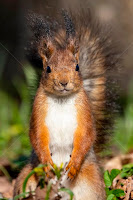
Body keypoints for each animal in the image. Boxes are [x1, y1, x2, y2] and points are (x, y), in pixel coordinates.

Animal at [14, 9, 119, 200]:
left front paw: (74, 165)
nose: (64, 82)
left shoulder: (84, 112)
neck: (61, 99)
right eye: (48, 69)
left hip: (91, 184)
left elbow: (86, 135)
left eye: (77, 67)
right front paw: (47, 164)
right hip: (29, 174)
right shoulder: (38, 112)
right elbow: (37, 135)